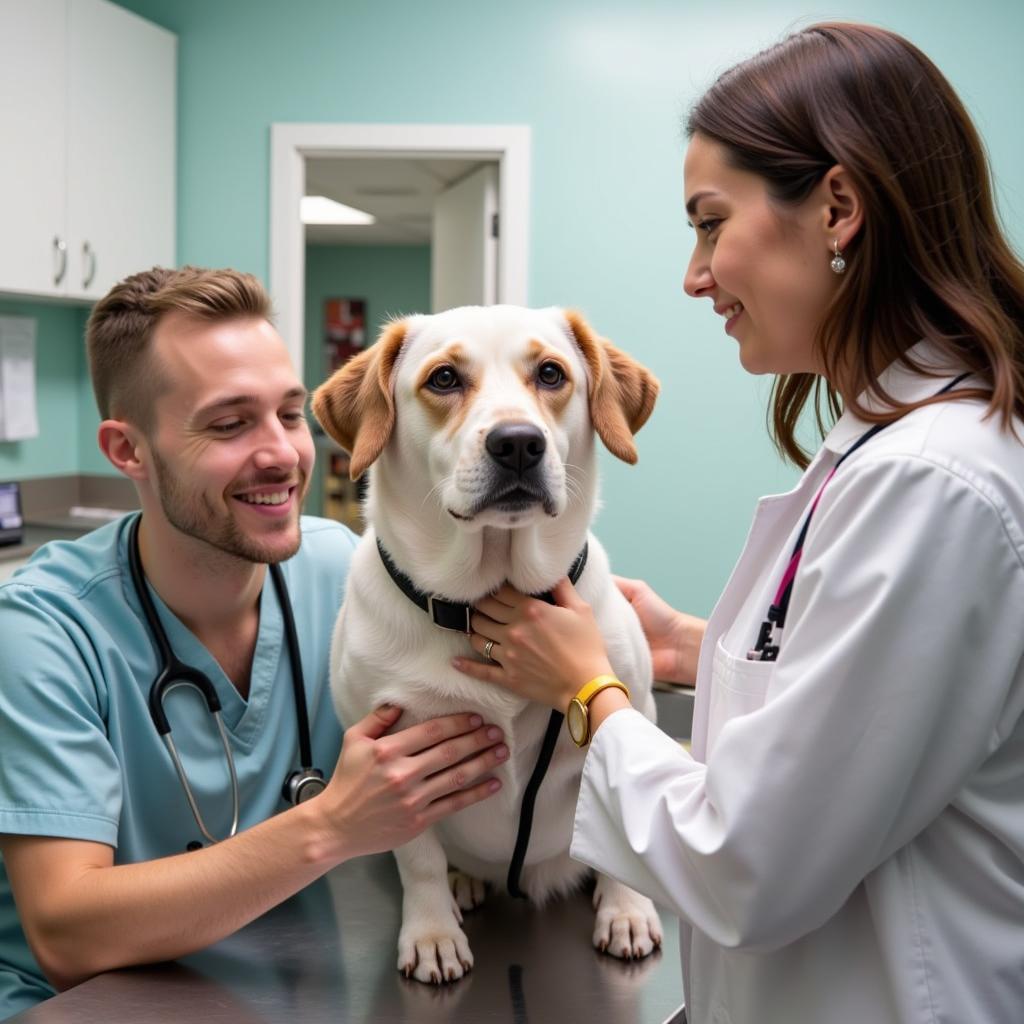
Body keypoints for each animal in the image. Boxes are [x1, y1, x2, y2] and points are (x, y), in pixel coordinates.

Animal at [313, 303, 663, 983]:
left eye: (551, 373)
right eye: (444, 378)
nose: (518, 442)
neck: (484, 602)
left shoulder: (632, 708)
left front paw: (627, 908)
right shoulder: (394, 759)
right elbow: (418, 859)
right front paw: (431, 932)